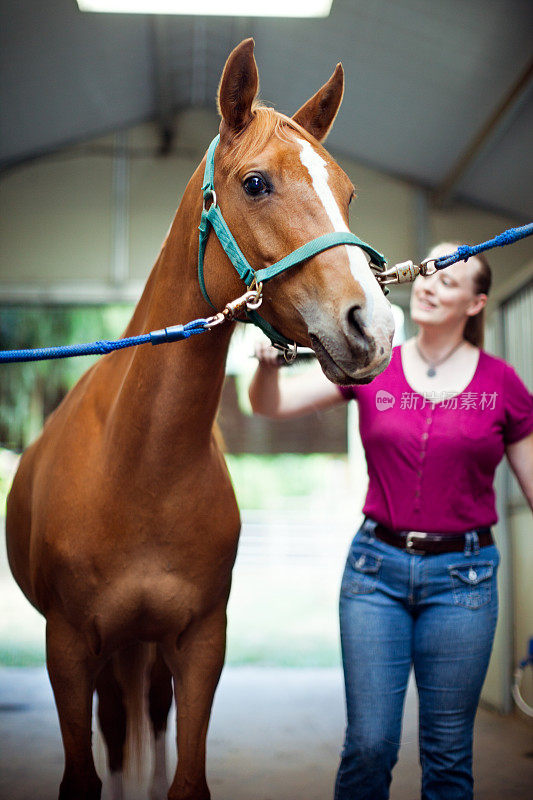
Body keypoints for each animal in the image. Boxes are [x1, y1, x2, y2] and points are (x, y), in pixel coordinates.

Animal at [5, 37, 394, 800]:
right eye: (255, 183)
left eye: (348, 194)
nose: (373, 326)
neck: (139, 467)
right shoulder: (68, 647)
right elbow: (85, 774)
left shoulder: (200, 642)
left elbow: (183, 777)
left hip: (146, 653)